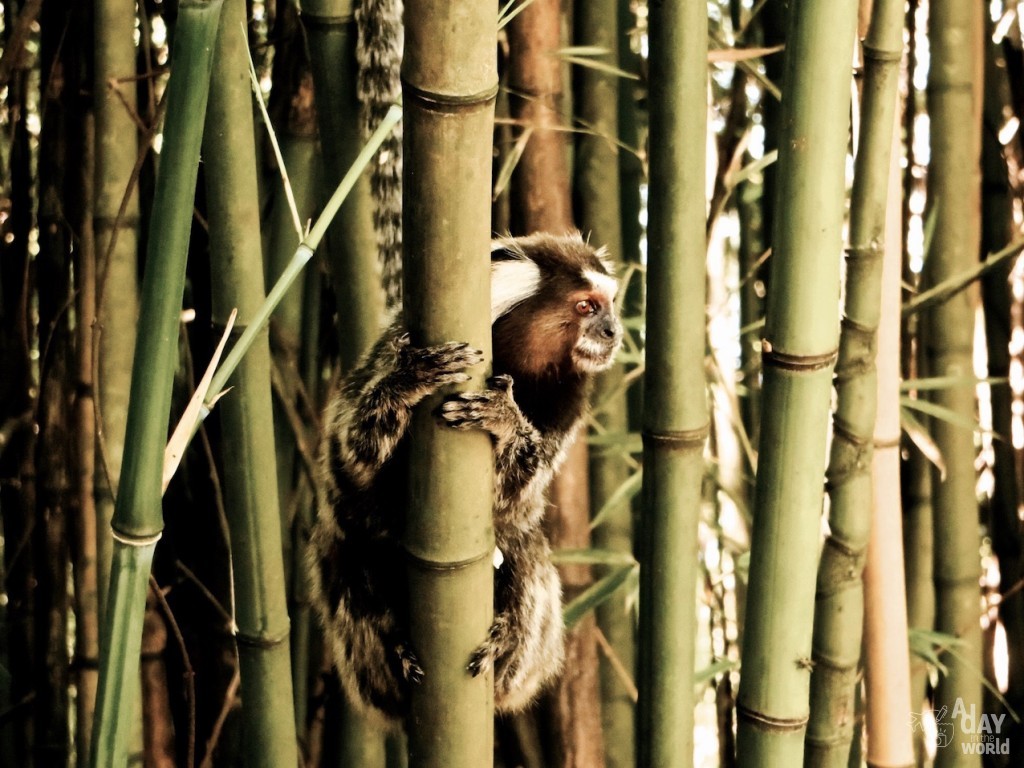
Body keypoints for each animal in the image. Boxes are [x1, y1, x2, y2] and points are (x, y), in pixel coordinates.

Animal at [307, 231, 618, 724]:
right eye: (587, 306)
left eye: (610, 305)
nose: (612, 331)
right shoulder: (390, 350)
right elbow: (351, 463)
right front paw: (407, 380)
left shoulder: (567, 401)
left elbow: (515, 497)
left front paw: (505, 419)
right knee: (355, 565)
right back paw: (396, 649)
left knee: (522, 549)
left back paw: (503, 642)